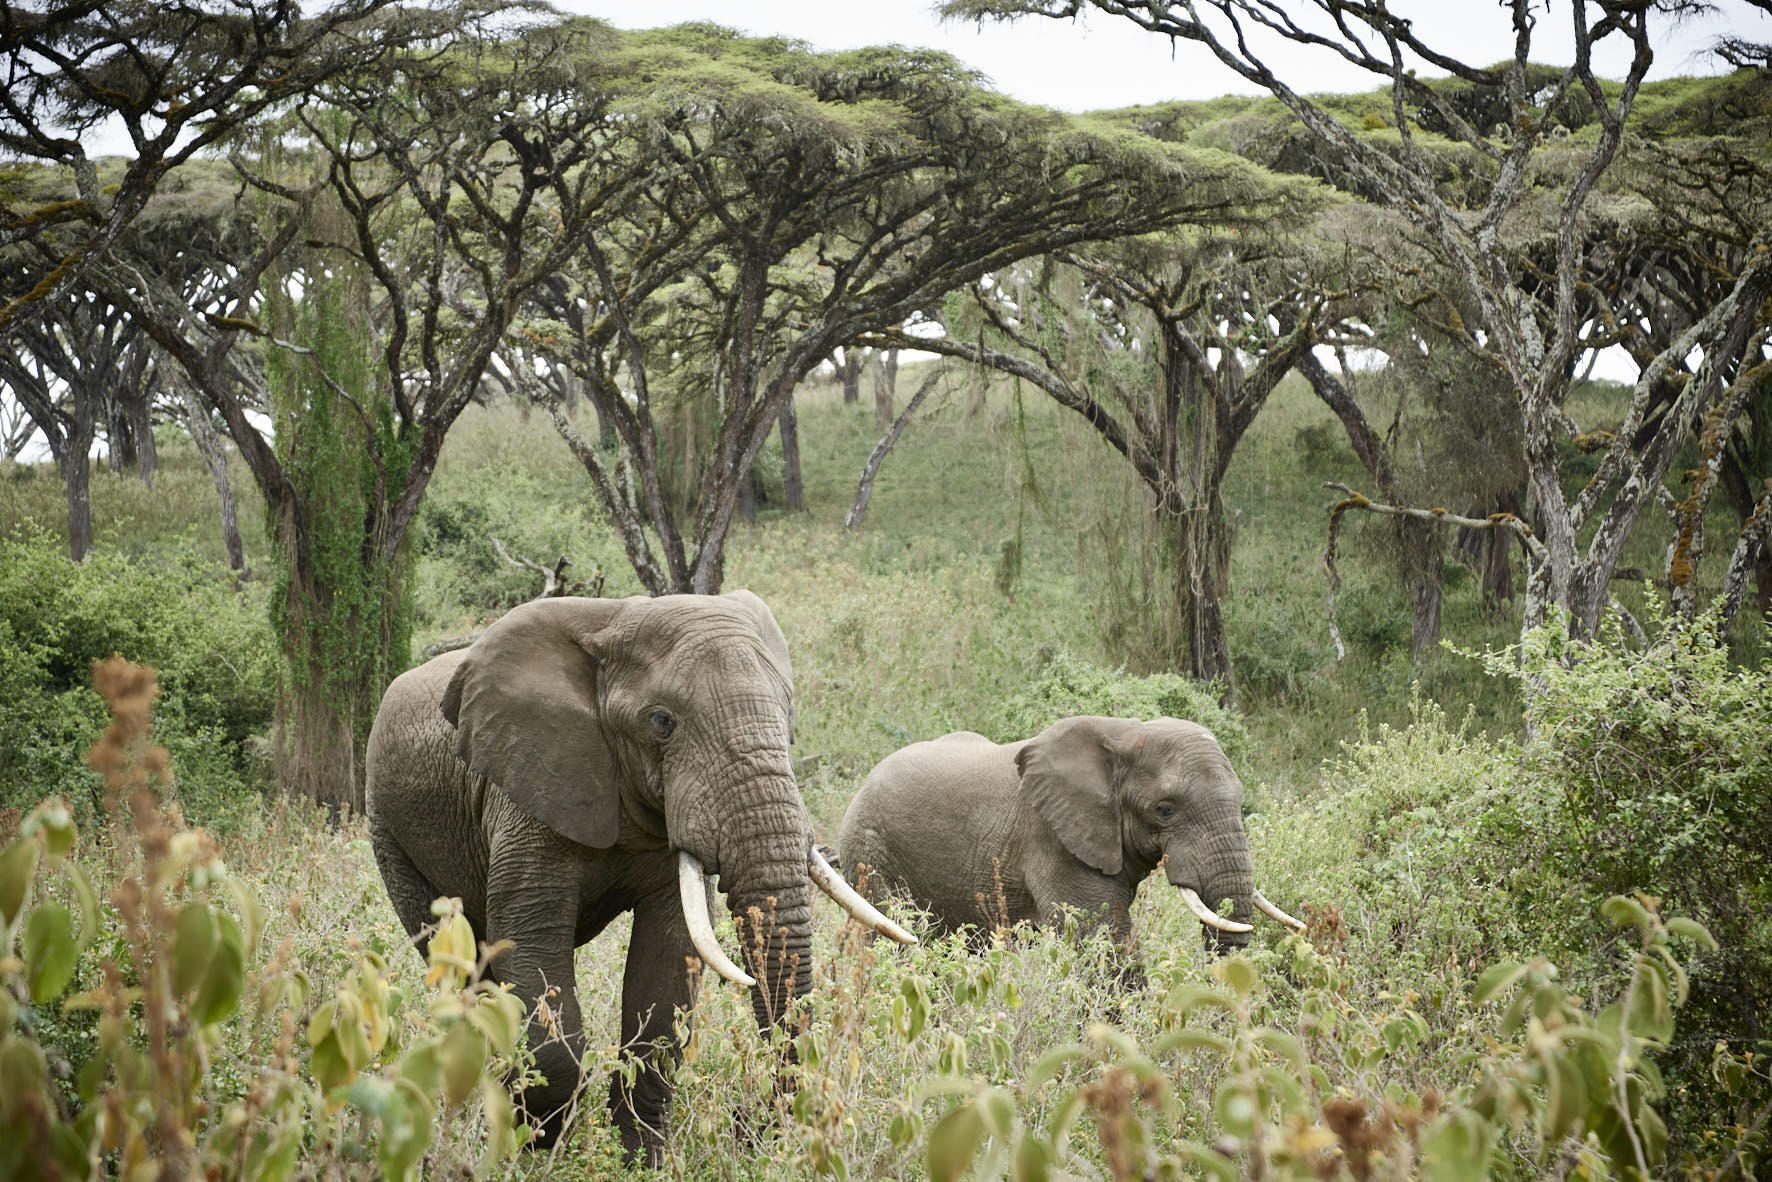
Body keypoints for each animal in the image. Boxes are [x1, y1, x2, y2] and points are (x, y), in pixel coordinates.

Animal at [364, 591, 911, 1162]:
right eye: (662, 722)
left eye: (788, 721)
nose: (751, 1128)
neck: (616, 620)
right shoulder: (527, 788)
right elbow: (530, 948)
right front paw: (542, 1151)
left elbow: (668, 966)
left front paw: (638, 1160)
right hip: (388, 827)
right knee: (458, 960)